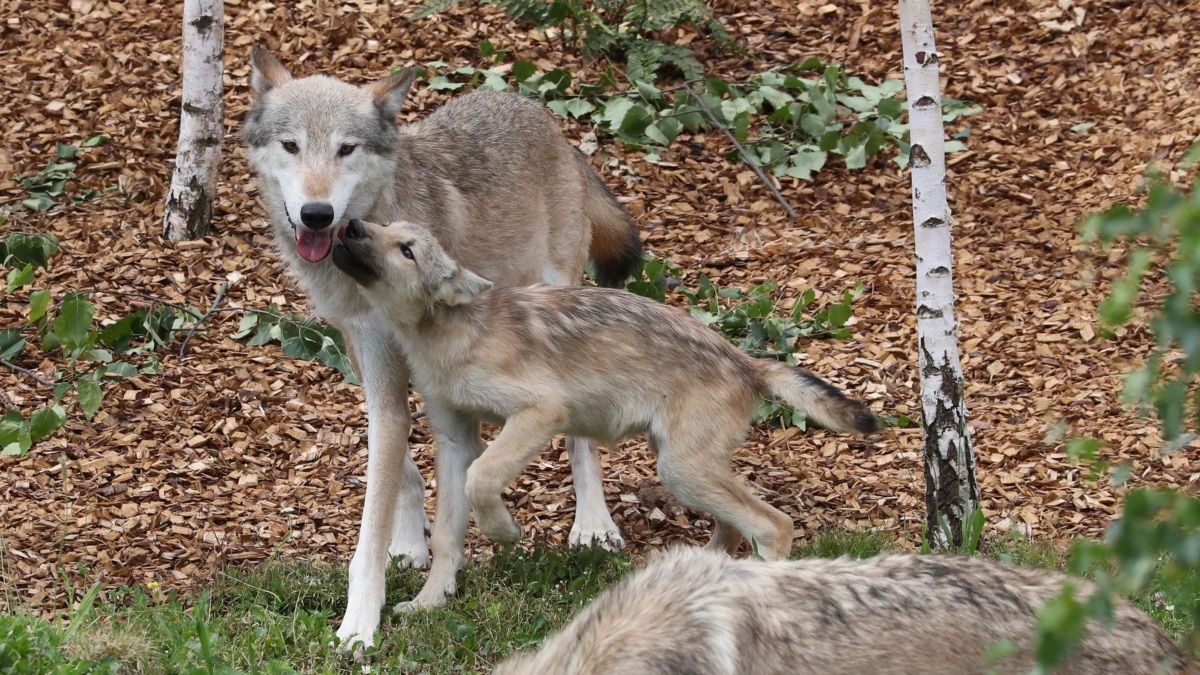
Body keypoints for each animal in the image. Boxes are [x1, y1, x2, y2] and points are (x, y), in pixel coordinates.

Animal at [237, 45, 643, 648]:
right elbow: (399, 464)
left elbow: (370, 528)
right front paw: (409, 543)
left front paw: (359, 625)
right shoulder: (363, 352)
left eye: (346, 149)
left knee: (579, 439)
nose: (317, 214)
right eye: (291, 146)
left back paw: (593, 525)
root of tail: (535, 110)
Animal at [333, 218, 878, 576]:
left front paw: (505, 532)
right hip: (686, 470)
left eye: (407, 250)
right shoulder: (458, 428)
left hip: (682, 470)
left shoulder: (541, 412)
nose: (352, 223)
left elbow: (482, 478)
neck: (447, 332)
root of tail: (748, 361)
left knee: (774, 525)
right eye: (382, 225)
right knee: (731, 531)